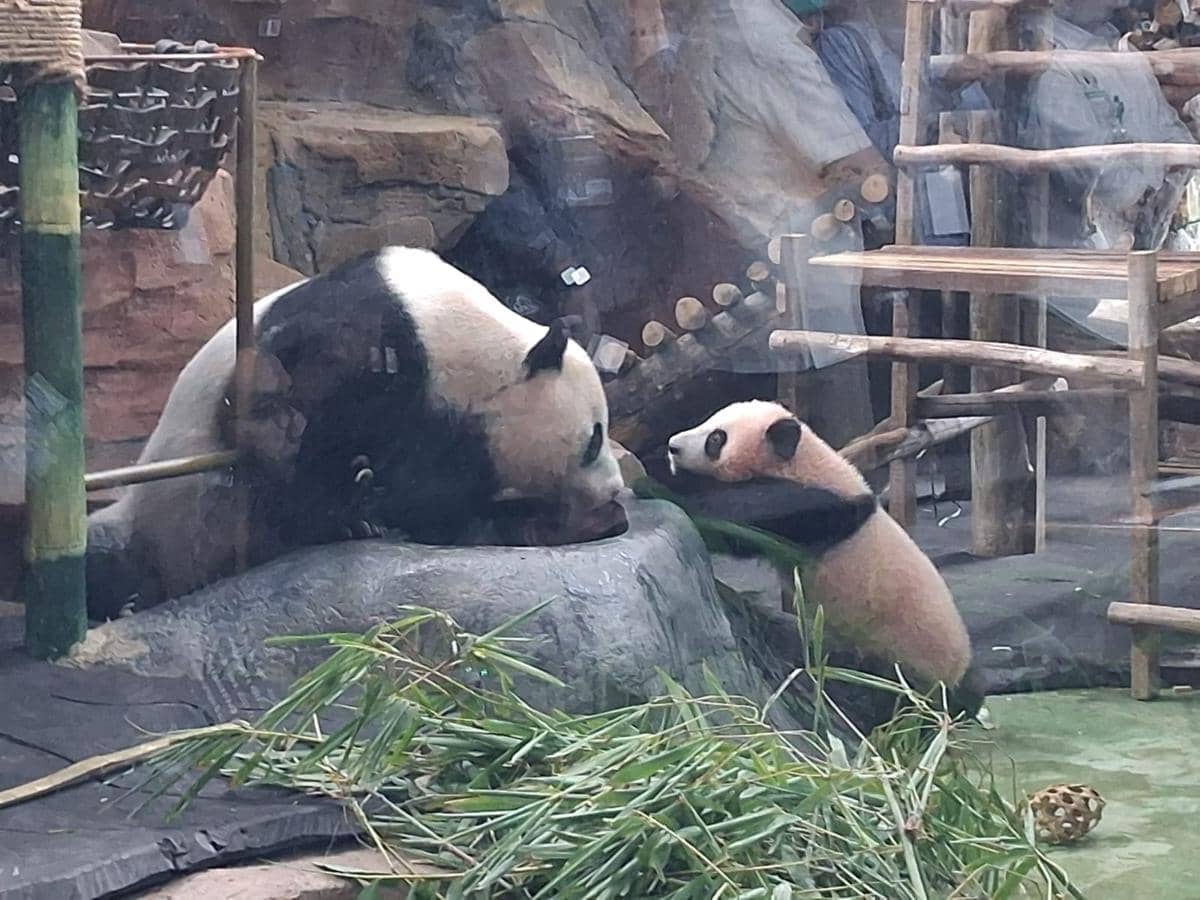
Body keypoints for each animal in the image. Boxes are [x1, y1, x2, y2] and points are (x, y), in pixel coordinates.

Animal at [85, 246, 626, 620]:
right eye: (593, 440)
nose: (614, 489)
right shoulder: (370, 339)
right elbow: (279, 407)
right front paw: (352, 509)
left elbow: (447, 503)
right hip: (164, 513)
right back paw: (124, 601)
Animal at [665, 400, 979, 718]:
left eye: (716, 438)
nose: (672, 447)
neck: (806, 463)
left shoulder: (820, 509)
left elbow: (740, 525)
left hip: (896, 659)